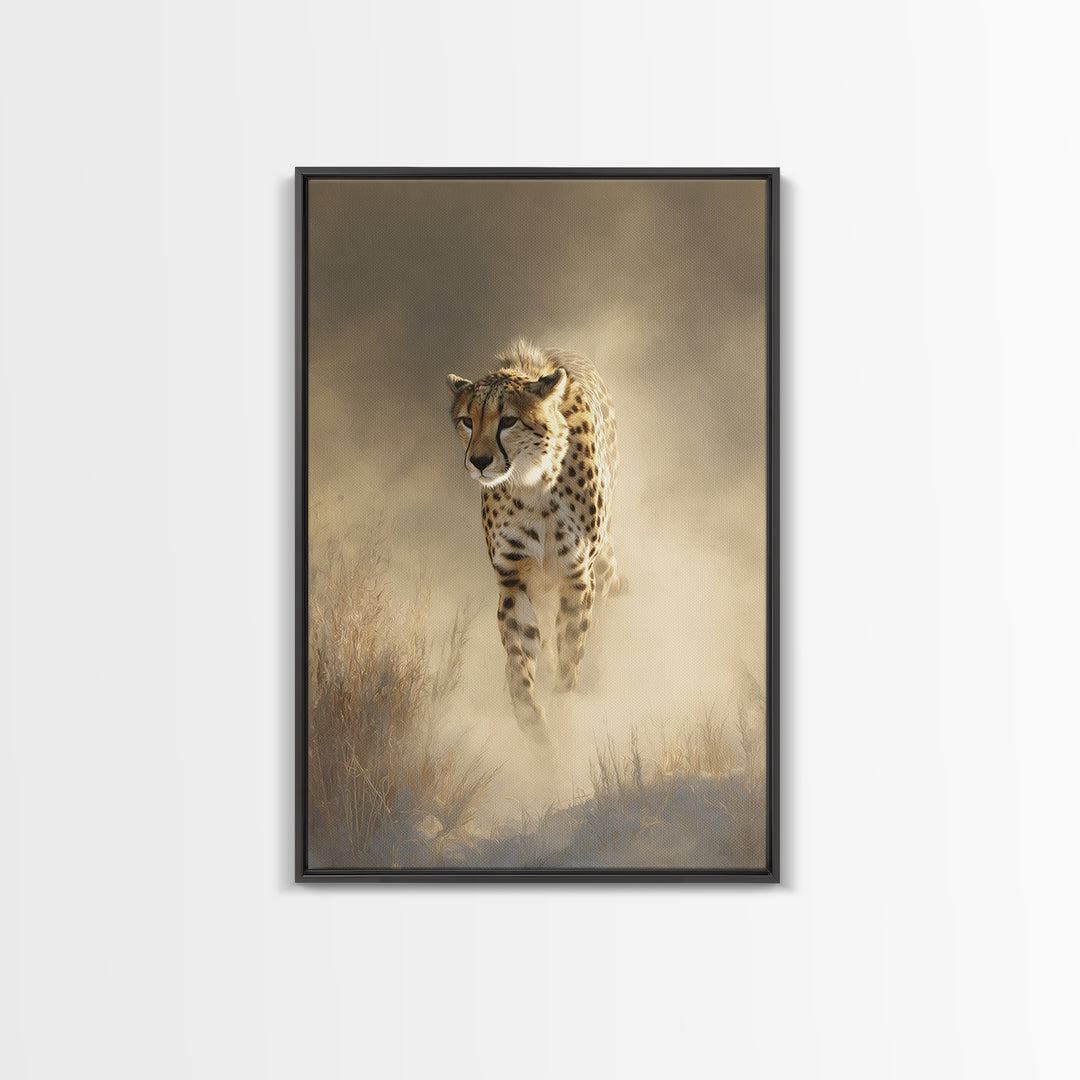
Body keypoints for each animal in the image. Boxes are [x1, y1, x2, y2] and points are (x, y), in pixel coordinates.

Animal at [447, 339, 622, 742]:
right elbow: (519, 660)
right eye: (467, 420)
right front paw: (534, 725)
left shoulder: (577, 576)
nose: (479, 461)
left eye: (508, 420)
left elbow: (570, 655)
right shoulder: (514, 579)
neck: (533, 481)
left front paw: (562, 712)